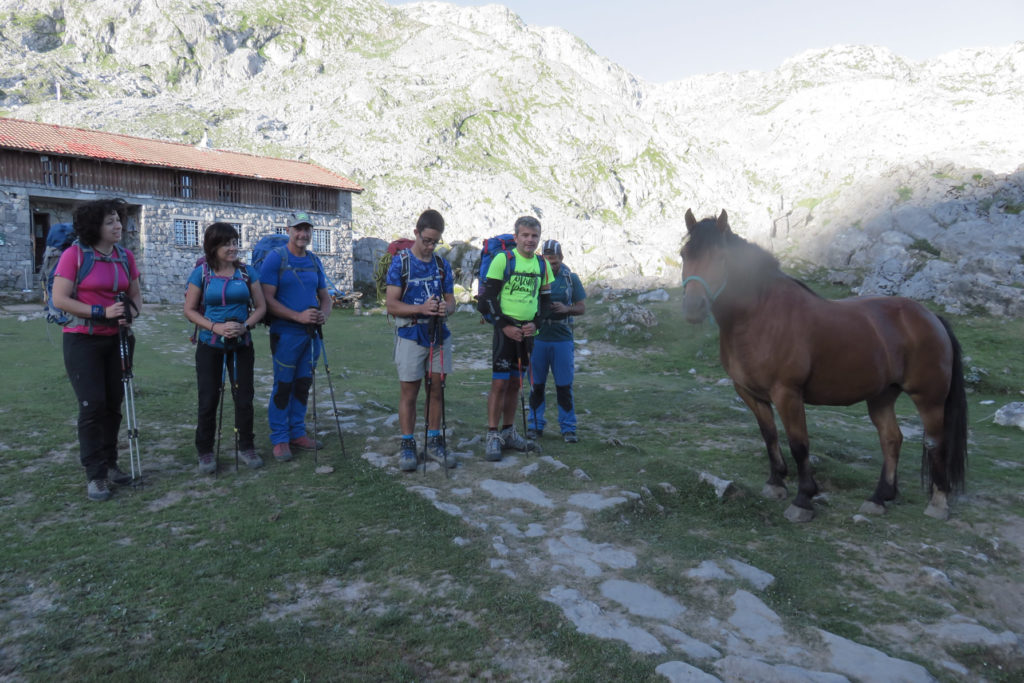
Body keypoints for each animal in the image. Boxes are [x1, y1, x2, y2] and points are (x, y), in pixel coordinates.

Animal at [679, 210, 966, 520]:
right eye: (684, 254)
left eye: (721, 257)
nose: (693, 308)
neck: (758, 316)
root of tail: (931, 317)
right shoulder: (750, 393)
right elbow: (769, 435)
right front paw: (776, 483)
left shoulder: (787, 394)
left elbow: (799, 444)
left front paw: (803, 499)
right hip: (882, 396)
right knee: (891, 439)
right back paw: (879, 498)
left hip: (929, 399)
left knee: (936, 442)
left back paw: (938, 503)